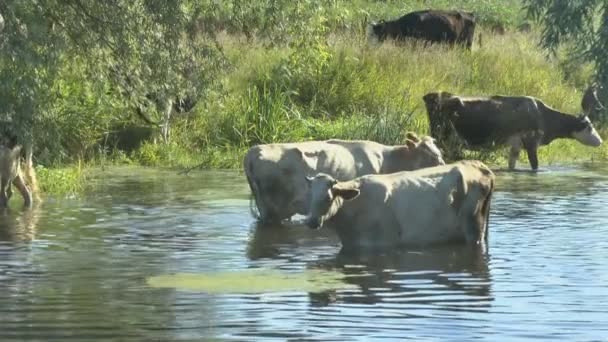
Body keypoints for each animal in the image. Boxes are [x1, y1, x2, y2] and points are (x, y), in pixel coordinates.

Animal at [243, 134, 446, 224]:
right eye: (431, 156)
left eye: (439, 152)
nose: (445, 165)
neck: (386, 158)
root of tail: (253, 152)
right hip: (273, 211)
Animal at [302, 160, 494, 251]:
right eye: (309, 197)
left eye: (328, 198)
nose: (311, 221)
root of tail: (480, 166)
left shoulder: (381, 243)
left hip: (473, 227)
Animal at [422, 91, 604, 170]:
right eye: (589, 126)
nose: (601, 141)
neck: (543, 116)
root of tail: (435, 96)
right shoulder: (531, 143)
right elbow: (535, 166)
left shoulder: (515, 146)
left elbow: (512, 165)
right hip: (446, 139)